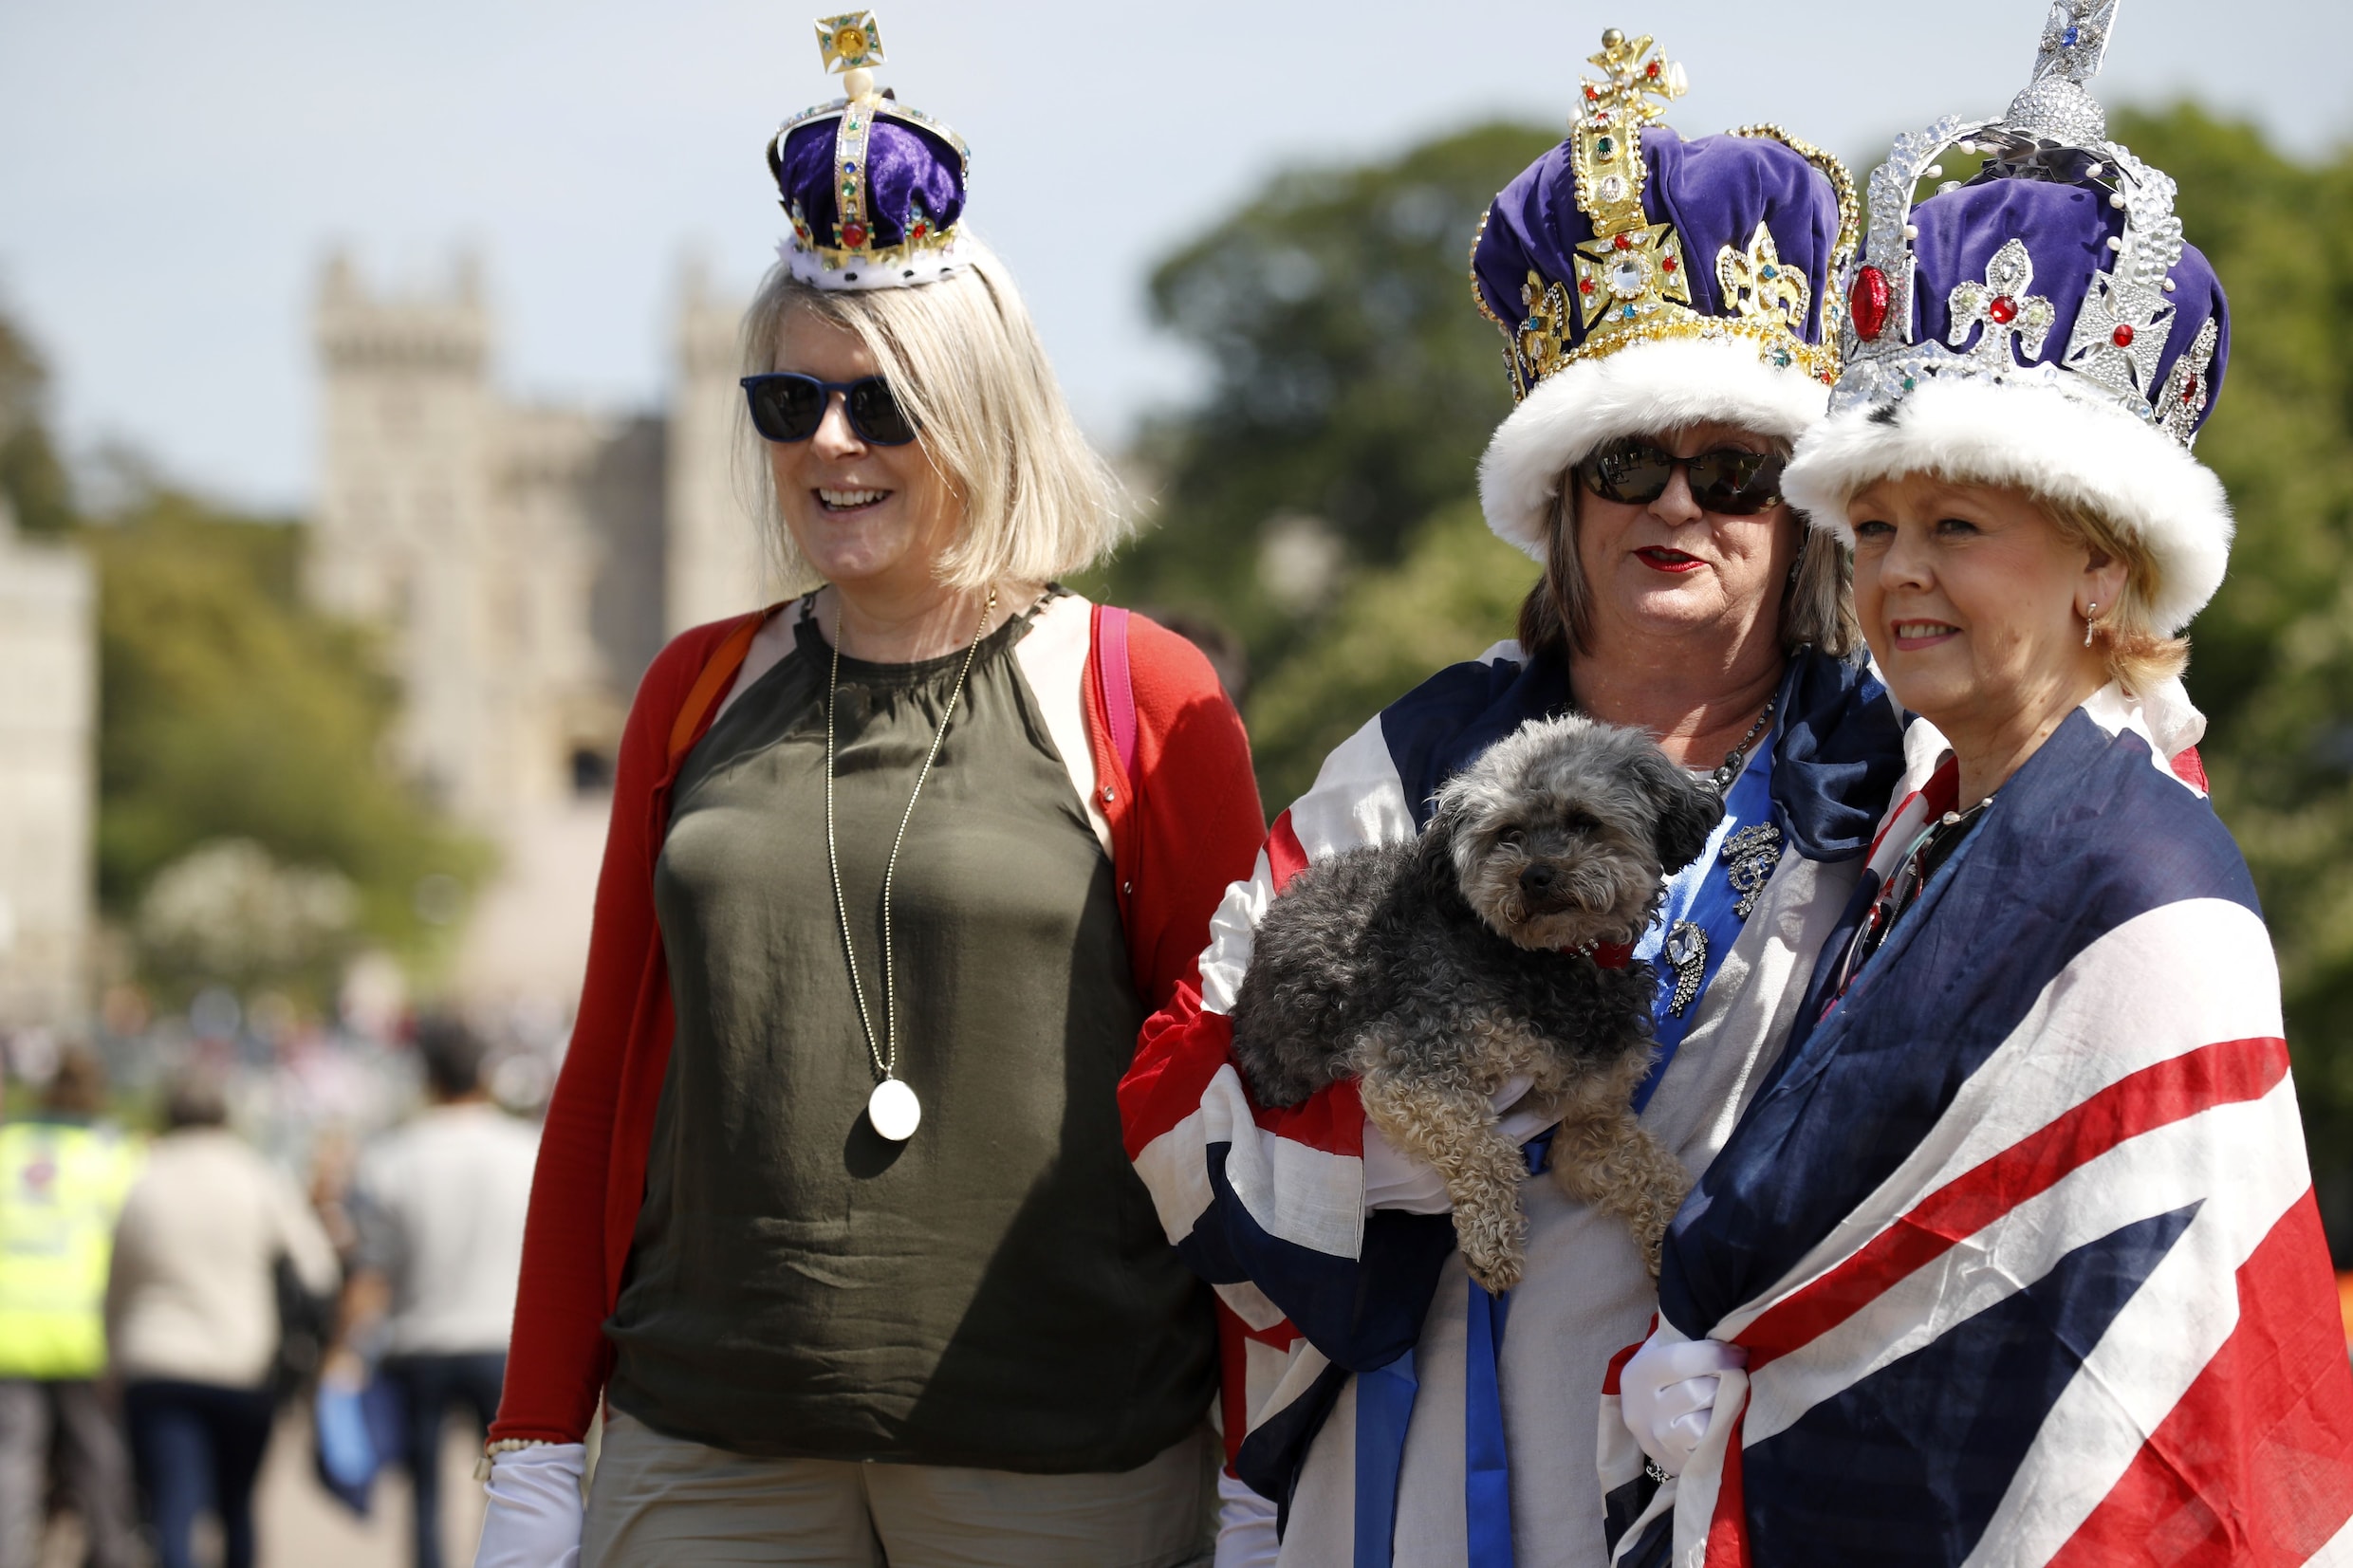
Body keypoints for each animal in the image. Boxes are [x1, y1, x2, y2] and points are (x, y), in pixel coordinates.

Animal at [1232, 719, 1732, 1297]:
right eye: (1506, 833)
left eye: (1584, 821)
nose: (1535, 876)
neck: (1556, 960)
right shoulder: (1411, 1068)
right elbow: (1483, 1146)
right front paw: (1491, 1240)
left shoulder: (1591, 1120)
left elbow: (1650, 1171)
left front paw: (1673, 1251)